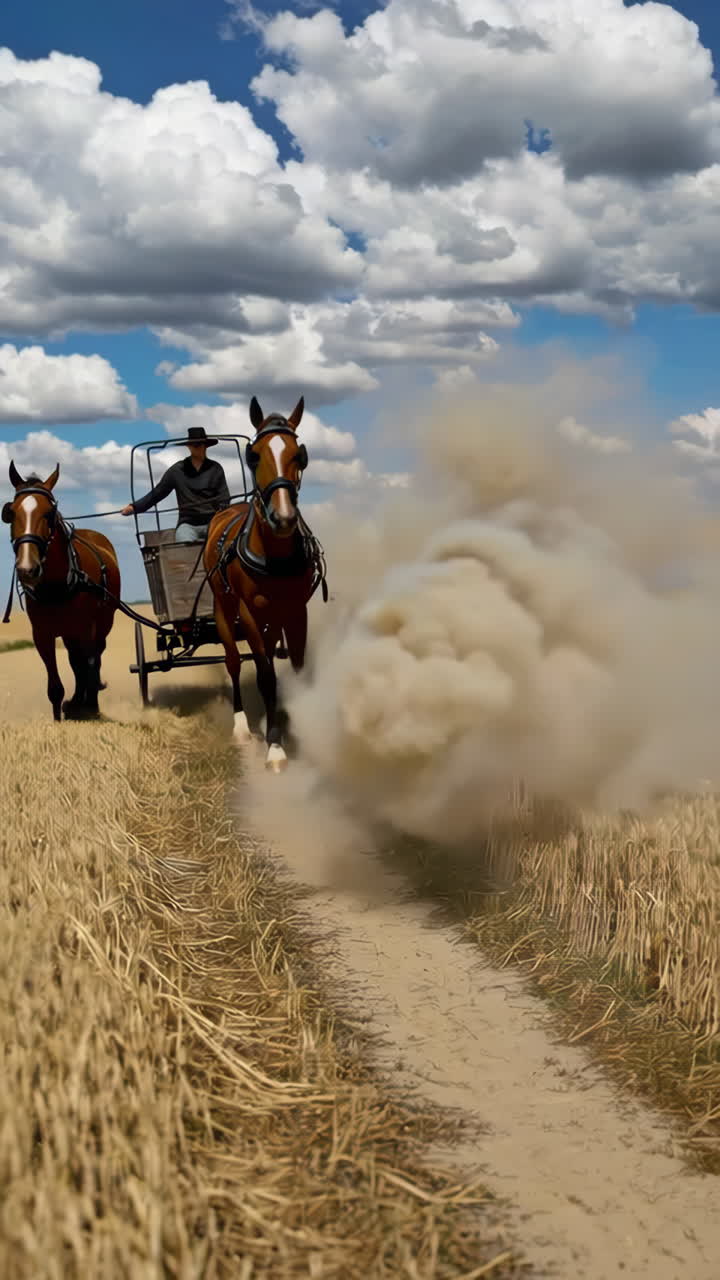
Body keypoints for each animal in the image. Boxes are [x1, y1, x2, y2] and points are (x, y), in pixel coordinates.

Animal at [2, 462, 121, 721]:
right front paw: (60, 716)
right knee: (76, 660)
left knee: (93, 658)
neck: (55, 585)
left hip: (102, 623)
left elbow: (89, 663)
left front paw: (89, 706)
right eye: (11, 513)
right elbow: (56, 685)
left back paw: (88, 701)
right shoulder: (42, 634)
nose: (27, 568)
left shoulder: (86, 628)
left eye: (48, 514)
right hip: (68, 632)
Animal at [203, 394, 327, 772]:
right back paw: (243, 727)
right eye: (254, 455)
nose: (283, 517)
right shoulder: (250, 614)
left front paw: (297, 724)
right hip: (225, 609)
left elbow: (295, 670)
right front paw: (275, 746)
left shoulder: (296, 611)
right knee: (234, 661)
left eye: (299, 454)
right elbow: (266, 676)